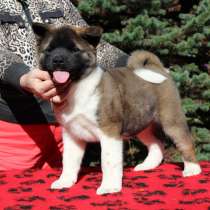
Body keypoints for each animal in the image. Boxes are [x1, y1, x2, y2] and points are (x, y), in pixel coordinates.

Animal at [32, 23, 201, 195]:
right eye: (49, 50)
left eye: (74, 50)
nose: (57, 60)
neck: (76, 87)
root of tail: (157, 69)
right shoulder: (72, 134)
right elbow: (69, 160)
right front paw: (65, 181)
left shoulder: (109, 131)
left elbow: (108, 161)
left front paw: (109, 187)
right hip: (142, 123)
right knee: (157, 143)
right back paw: (147, 165)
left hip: (171, 119)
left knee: (185, 142)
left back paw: (192, 169)